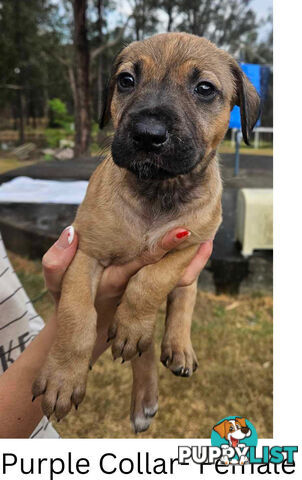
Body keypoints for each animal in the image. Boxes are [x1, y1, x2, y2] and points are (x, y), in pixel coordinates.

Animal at [32, 33, 260, 432]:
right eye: (126, 81)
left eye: (204, 89)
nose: (147, 135)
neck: (158, 190)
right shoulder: (86, 253)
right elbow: (77, 317)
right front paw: (62, 378)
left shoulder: (190, 246)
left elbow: (151, 281)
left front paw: (135, 320)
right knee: (142, 344)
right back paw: (144, 396)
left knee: (180, 303)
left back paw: (176, 347)